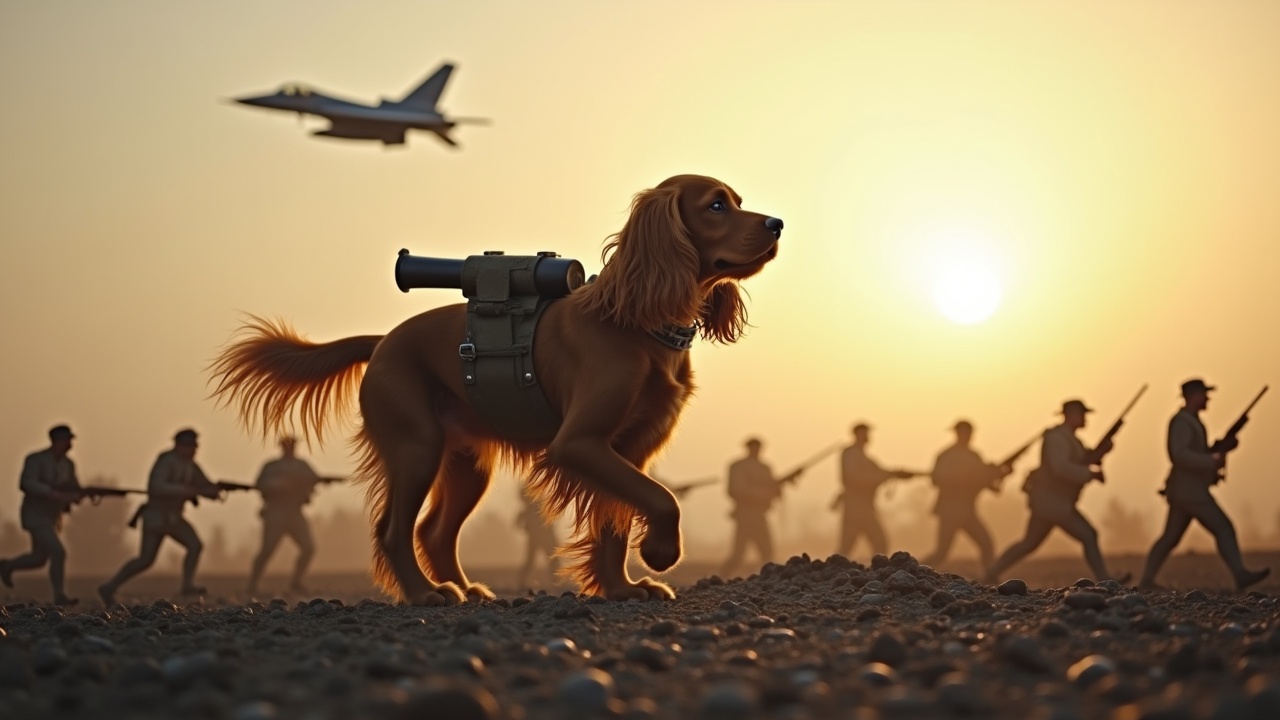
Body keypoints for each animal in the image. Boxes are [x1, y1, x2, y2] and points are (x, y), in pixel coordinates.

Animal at [209, 174, 778, 599]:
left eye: (737, 201)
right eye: (716, 205)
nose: (778, 223)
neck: (639, 322)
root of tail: (383, 340)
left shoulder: (627, 450)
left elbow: (615, 519)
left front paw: (621, 588)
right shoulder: (579, 444)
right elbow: (662, 499)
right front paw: (661, 554)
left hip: (465, 464)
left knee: (433, 533)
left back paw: (466, 590)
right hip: (416, 446)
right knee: (393, 531)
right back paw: (427, 595)